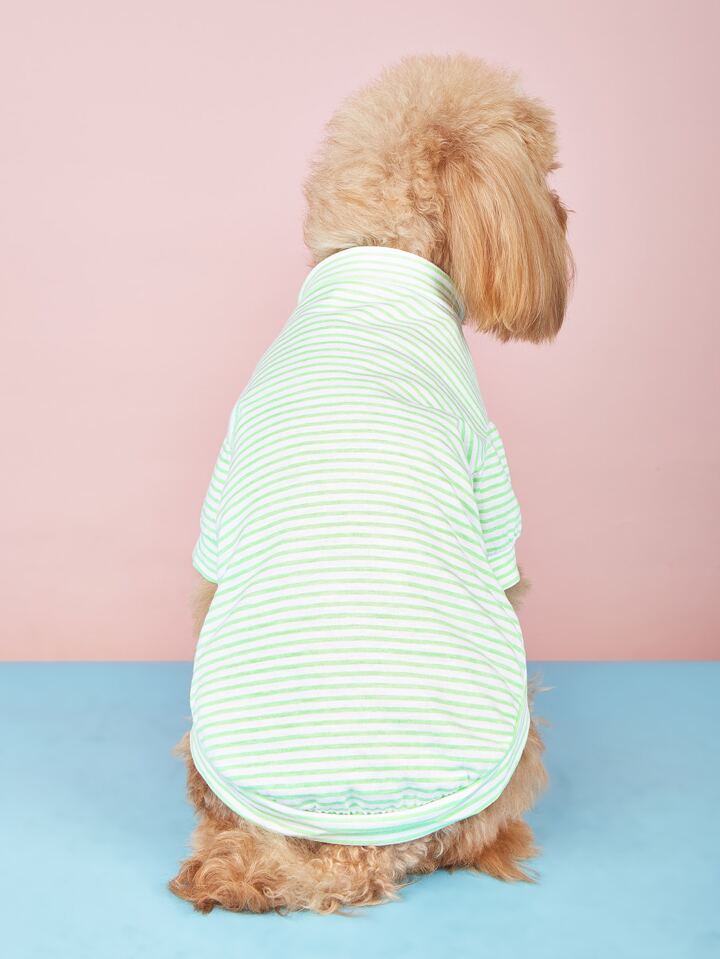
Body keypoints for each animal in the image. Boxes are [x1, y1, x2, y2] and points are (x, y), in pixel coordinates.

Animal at [169, 53, 573, 914]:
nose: (565, 211)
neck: (379, 258)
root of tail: (349, 847)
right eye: (543, 169)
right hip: (515, 729)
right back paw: (504, 841)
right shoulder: (490, 480)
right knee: (469, 838)